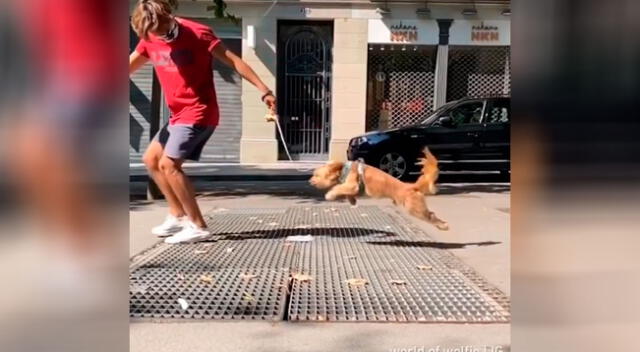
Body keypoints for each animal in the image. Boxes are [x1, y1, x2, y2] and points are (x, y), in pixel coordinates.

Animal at [310, 148, 450, 231]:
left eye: (316, 175)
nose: (310, 180)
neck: (344, 170)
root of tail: (411, 186)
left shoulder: (352, 184)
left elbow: (338, 188)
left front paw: (330, 195)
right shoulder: (351, 188)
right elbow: (347, 192)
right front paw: (352, 200)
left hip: (415, 209)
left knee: (431, 215)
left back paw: (443, 225)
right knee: (431, 214)